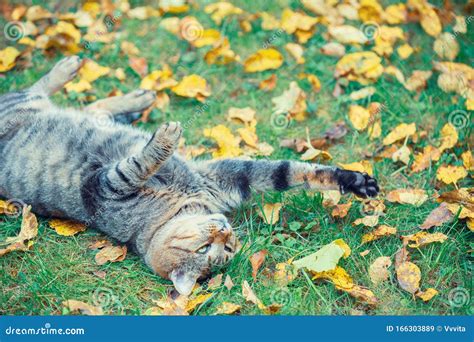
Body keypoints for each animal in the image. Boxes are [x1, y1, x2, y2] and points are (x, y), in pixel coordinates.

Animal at [0, 56, 378, 294]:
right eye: (205, 249)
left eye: (228, 247)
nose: (226, 230)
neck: (177, 203)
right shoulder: (104, 186)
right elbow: (137, 164)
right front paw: (164, 141)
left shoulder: (226, 176)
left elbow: (292, 172)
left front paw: (354, 180)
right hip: (18, 107)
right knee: (37, 89)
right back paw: (73, 69)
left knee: (89, 107)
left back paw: (136, 97)